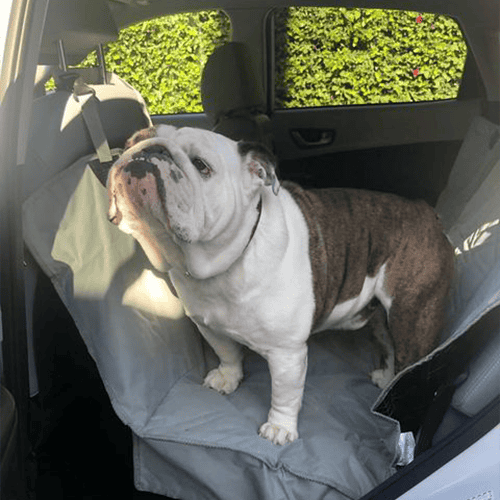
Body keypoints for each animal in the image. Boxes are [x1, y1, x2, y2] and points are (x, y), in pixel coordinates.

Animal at [105, 124, 454, 445]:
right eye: (131, 142)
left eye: (200, 165)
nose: (148, 151)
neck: (222, 263)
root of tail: (426, 211)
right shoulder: (208, 325)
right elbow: (227, 352)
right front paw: (228, 378)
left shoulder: (287, 353)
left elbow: (285, 394)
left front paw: (280, 429)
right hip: (383, 317)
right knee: (390, 344)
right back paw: (386, 378)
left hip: (412, 316)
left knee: (410, 361)